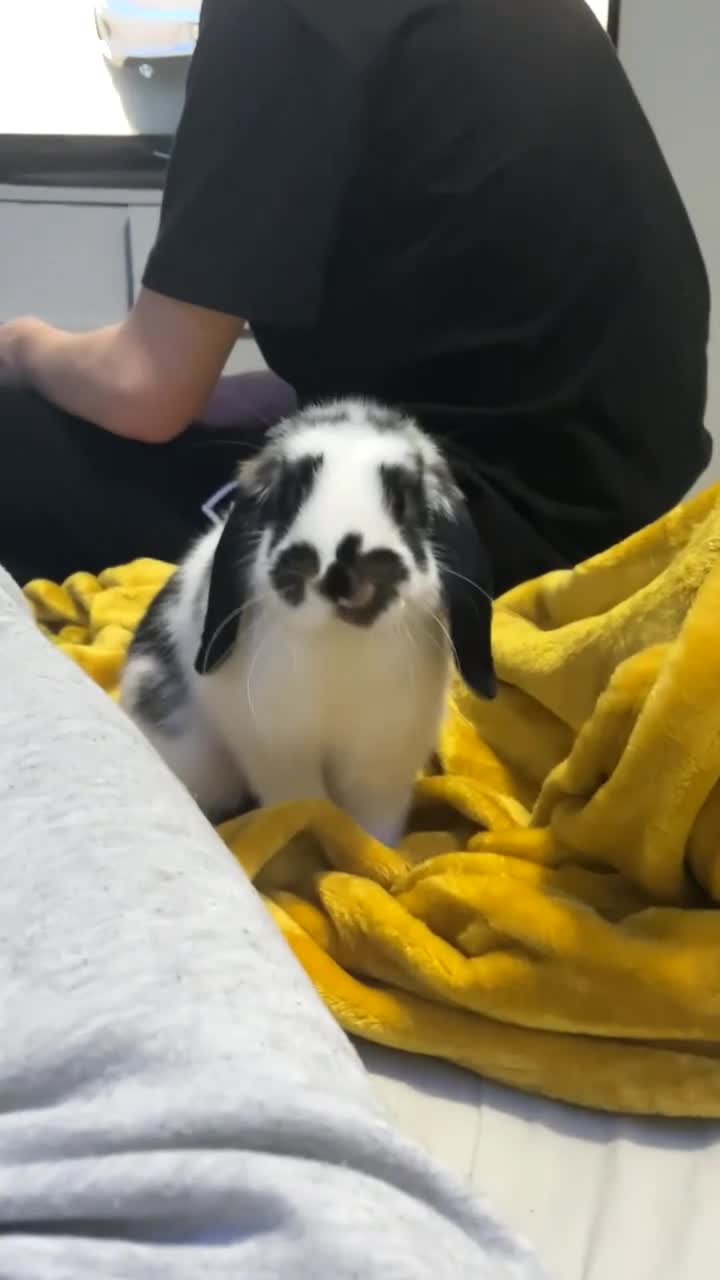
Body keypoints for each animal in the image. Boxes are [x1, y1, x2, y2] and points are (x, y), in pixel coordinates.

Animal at [120, 399, 496, 847]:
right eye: (290, 494)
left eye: (404, 502)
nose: (337, 572)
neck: (339, 644)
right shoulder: (278, 753)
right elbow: (305, 804)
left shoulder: (383, 765)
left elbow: (376, 824)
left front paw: (383, 854)